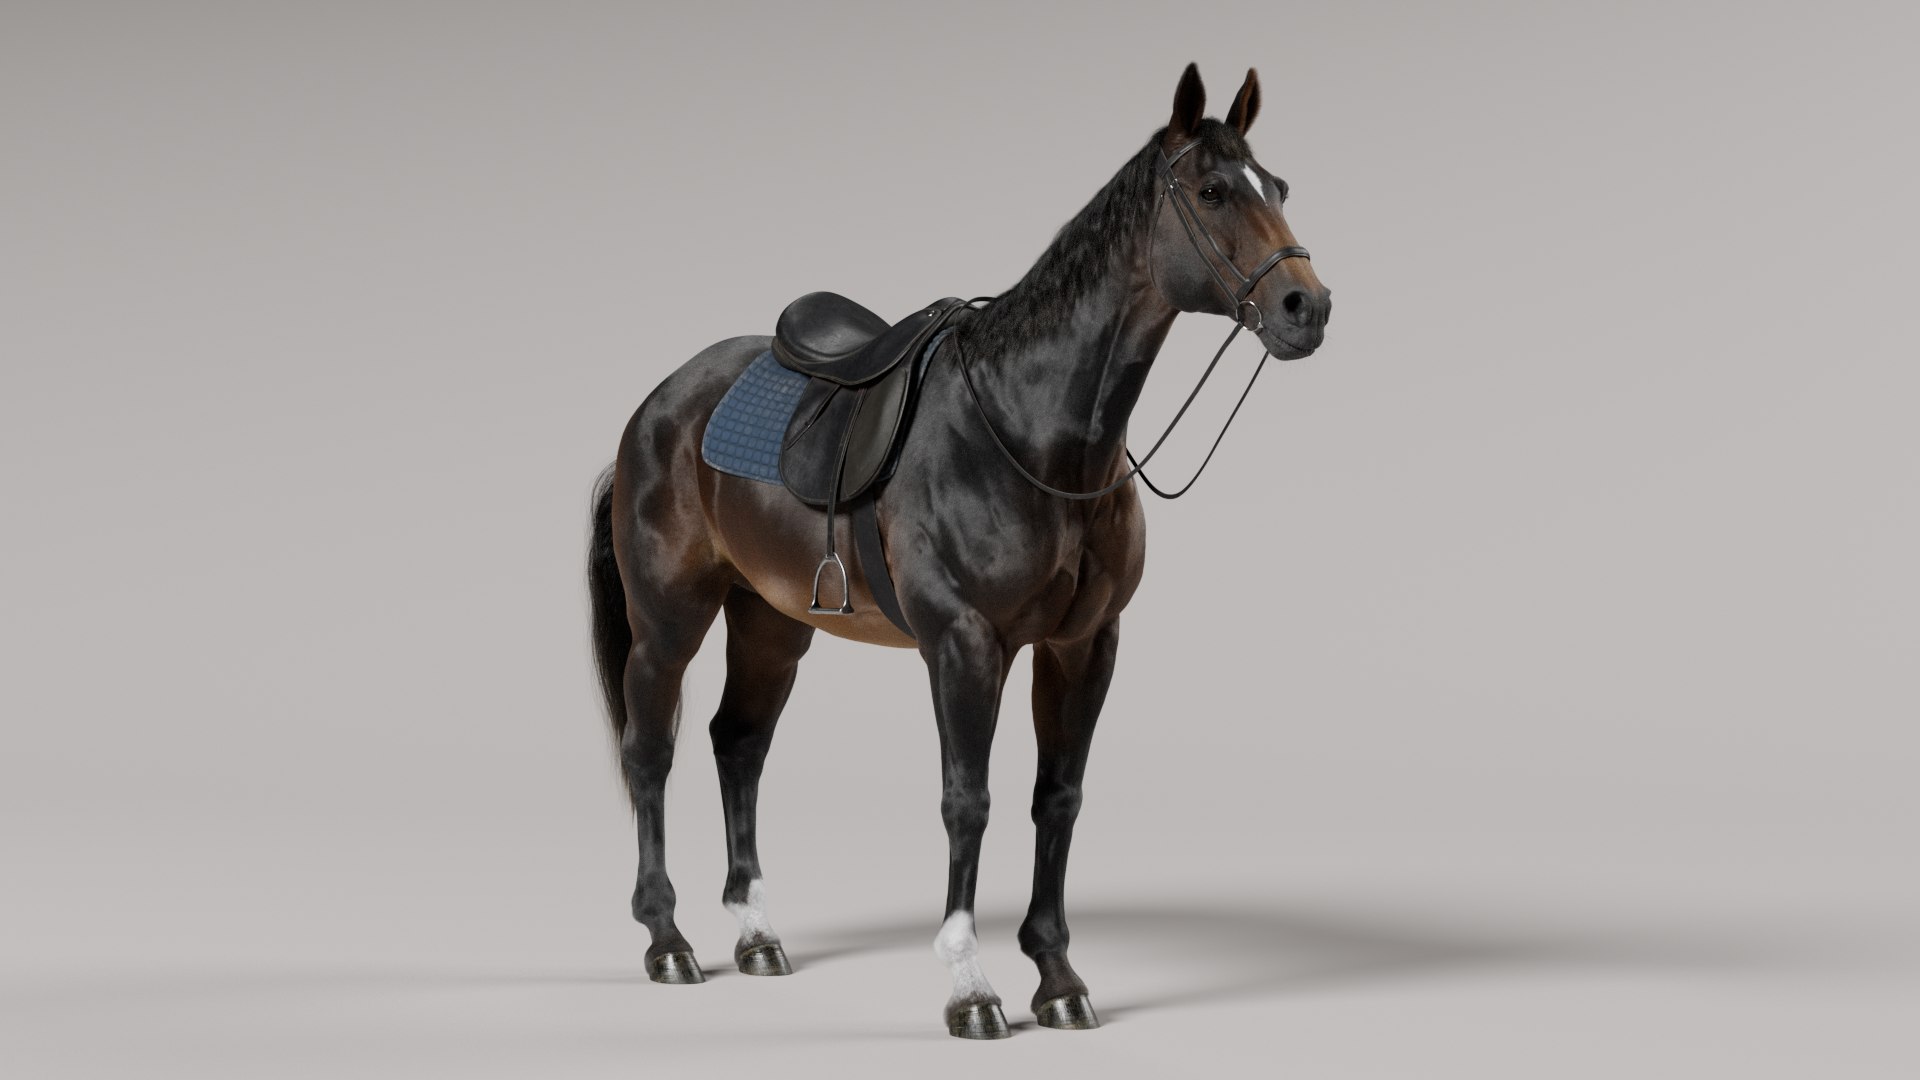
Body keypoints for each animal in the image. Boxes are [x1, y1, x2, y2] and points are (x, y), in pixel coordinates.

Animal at [586, 63, 1332, 1039]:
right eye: (1212, 192)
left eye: (1275, 186)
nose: (1307, 307)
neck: (1030, 429)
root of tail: (659, 405)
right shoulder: (964, 643)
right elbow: (966, 801)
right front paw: (971, 985)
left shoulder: (1083, 645)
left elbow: (1058, 797)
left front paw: (1057, 977)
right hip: (671, 617)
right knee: (651, 749)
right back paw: (667, 939)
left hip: (770, 623)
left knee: (737, 744)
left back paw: (755, 933)